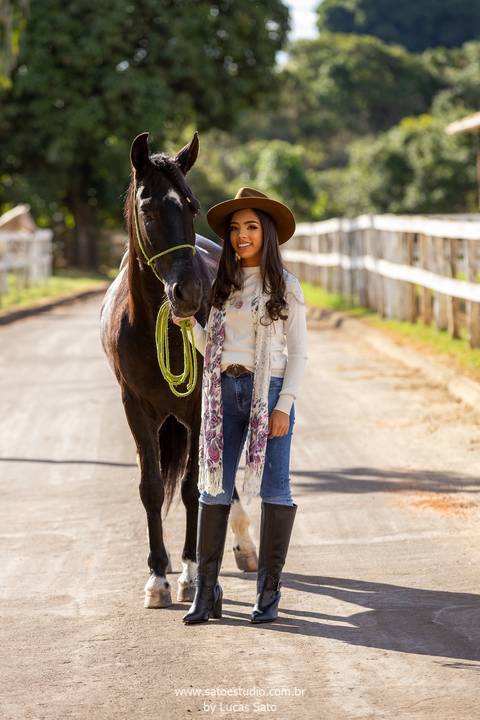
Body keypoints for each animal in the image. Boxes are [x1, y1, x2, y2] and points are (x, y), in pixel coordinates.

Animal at [100, 132, 257, 608]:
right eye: (149, 210)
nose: (188, 294)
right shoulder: (135, 407)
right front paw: (157, 577)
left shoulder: (198, 408)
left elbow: (192, 489)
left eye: (191, 206)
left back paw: (243, 545)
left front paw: (190, 573)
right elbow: (151, 487)